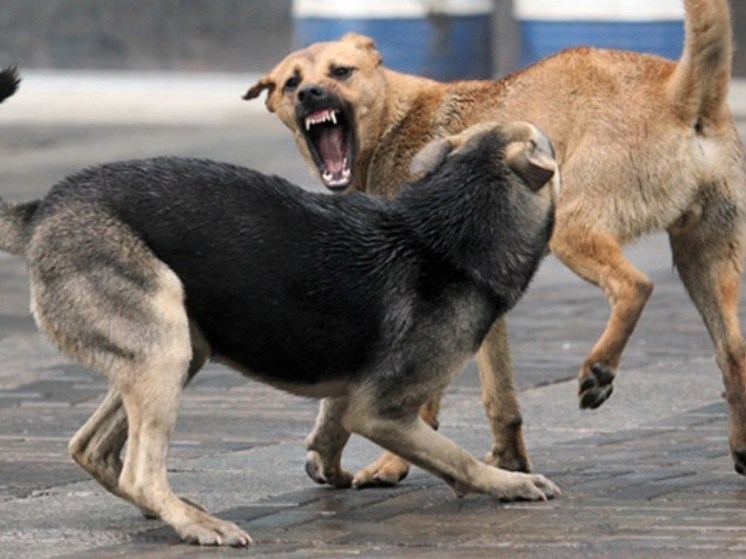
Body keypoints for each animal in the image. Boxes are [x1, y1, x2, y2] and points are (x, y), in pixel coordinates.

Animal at [0, 69, 560, 548]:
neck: (445, 230)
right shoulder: (380, 411)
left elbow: (331, 431)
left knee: (90, 447)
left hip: (177, 350)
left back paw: (174, 509)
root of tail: (43, 209)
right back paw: (194, 523)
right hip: (164, 347)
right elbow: (456, 457)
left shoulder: (351, 394)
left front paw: (331, 471)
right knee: (140, 471)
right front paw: (508, 482)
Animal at [246, 0, 746, 488]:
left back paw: (600, 369)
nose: (311, 94)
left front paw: (392, 464)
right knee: (732, 353)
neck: (393, 121)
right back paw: (740, 448)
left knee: (636, 286)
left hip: (574, 230)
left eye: (341, 72)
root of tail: (679, 92)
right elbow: (499, 393)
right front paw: (510, 461)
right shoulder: (483, 303)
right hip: (704, 259)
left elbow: (420, 401)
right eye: (292, 83)